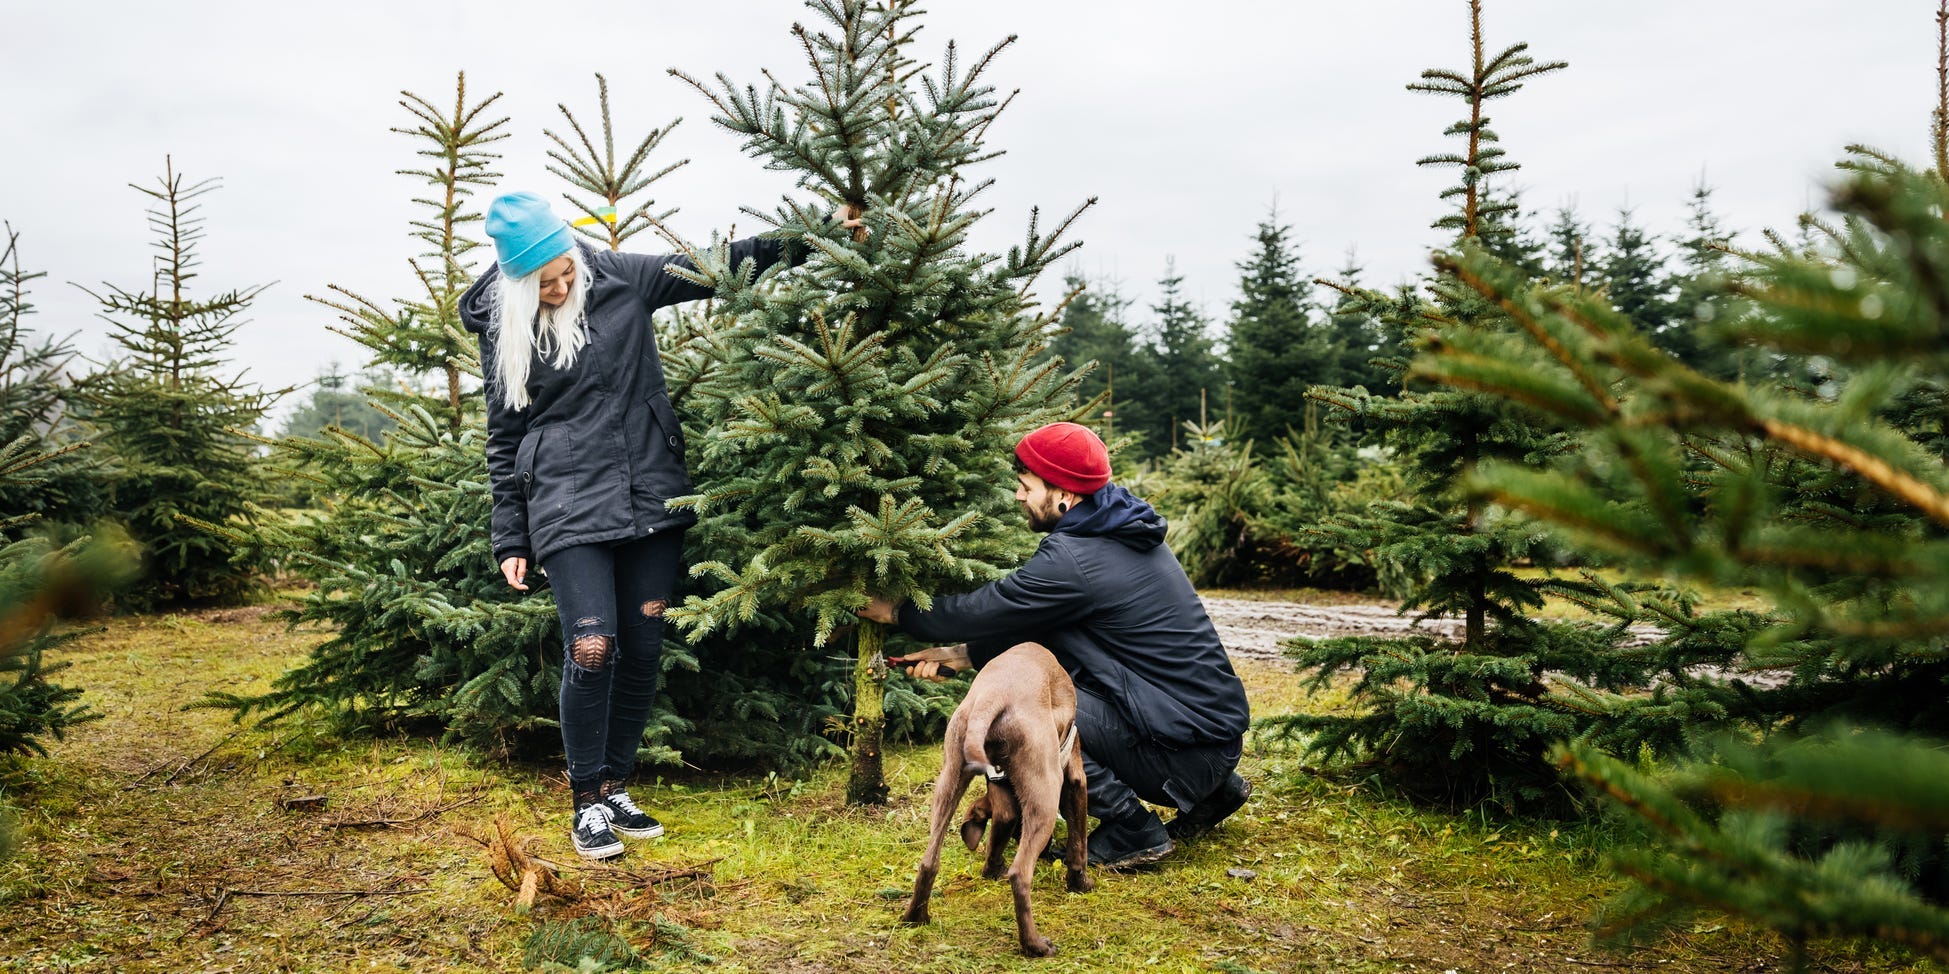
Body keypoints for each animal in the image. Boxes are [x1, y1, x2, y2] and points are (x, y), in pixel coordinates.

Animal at [900, 642, 1099, 954]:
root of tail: (991, 697)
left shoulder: (1002, 794)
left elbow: (1000, 828)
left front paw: (992, 870)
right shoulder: (1075, 778)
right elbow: (1078, 845)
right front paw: (1081, 884)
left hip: (949, 779)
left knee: (928, 861)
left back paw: (915, 917)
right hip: (1046, 791)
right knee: (1020, 873)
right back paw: (1035, 946)